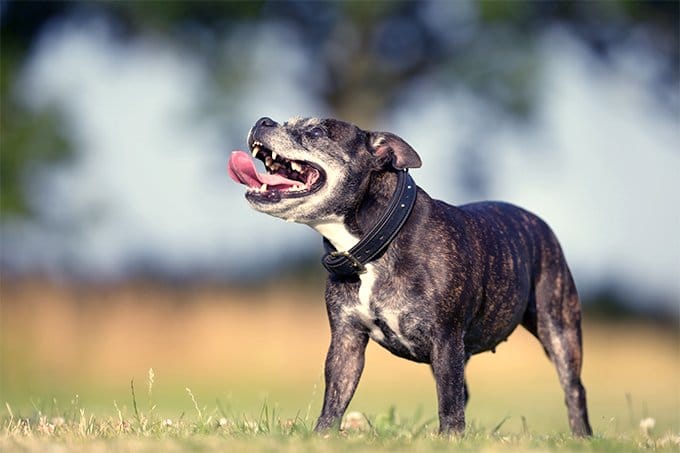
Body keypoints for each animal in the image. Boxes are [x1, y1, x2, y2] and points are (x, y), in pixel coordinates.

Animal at [227, 115, 588, 434]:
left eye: (316, 131)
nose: (263, 121)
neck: (373, 243)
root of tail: (537, 221)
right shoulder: (347, 341)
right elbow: (336, 397)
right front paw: (322, 436)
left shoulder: (445, 340)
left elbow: (449, 404)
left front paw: (450, 440)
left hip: (558, 328)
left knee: (573, 387)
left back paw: (581, 436)